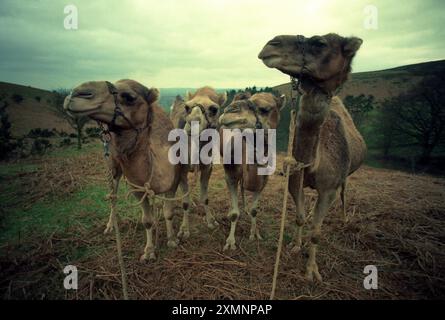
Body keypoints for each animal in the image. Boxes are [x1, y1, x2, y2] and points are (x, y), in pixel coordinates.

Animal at [62, 79, 182, 262]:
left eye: (129, 97)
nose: (75, 94)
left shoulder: (173, 181)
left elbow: (168, 212)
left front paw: (172, 240)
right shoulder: (136, 187)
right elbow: (147, 220)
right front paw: (148, 252)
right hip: (112, 165)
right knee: (113, 194)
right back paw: (110, 226)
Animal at [218, 91, 284, 251]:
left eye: (265, 109)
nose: (229, 110)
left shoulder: (264, 181)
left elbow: (255, 210)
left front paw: (255, 234)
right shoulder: (230, 175)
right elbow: (235, 213)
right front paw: (230, 242)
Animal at [258, 33, 366, 282]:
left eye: (319, 42)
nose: (271, 44)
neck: (312, 163)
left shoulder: (328, 189)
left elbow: (317, 232)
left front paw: (312, 271)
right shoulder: (294, 179)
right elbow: (299, 217)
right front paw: (296, 247)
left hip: (345, 176)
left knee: (344, 192)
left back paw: (345, 218)